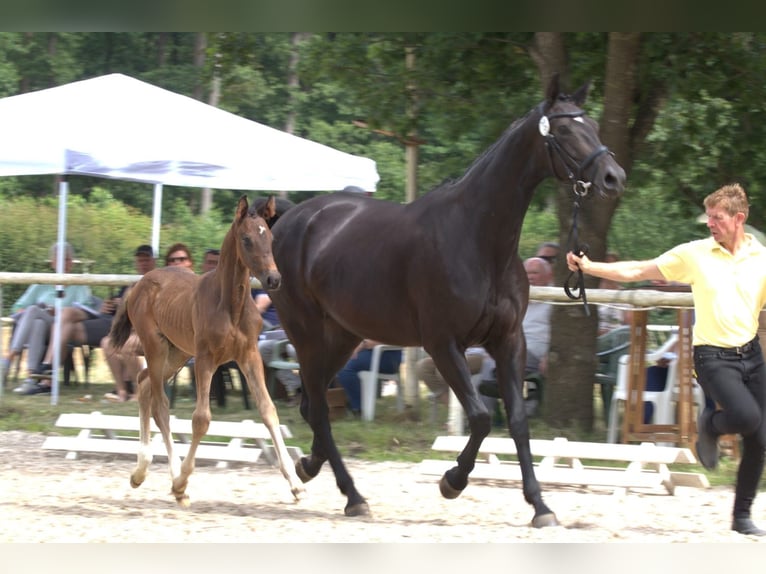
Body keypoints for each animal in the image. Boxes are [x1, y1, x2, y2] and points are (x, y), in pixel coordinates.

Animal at [109, 195, 304, 506]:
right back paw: (174, 482)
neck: (231, 305)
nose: (273, 279)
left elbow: (268, 410)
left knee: (143, 384)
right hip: (157, 348)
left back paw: (143, 471)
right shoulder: (205, 359)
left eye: (270, 237)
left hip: (177, 352)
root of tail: (139, 283)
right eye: (246, 239)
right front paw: (181, 483)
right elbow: (201, 419)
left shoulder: (249, 355)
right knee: (160, 405)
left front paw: (296, 485)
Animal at [269, 75, 626, 527]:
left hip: (343, 337)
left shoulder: (509, 341)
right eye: (563, 130)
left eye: (593, 125)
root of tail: (291, 219)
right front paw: (452, 481)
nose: (614, 177)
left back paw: (310, 467)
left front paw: (541, 506)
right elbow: (481, 417)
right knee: (316, 408)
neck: (478, 238)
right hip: (307, 335)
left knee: (312, 405)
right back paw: (353, 496)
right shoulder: (443, 344)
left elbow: (518, 421)